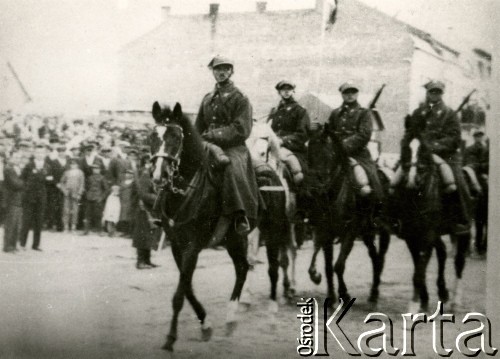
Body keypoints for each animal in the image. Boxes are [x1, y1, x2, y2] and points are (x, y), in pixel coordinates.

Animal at [149, 100, 256, 352]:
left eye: (175, 137)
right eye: (152, 136)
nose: (158, 176)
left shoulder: (192, 247)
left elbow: (179, 295)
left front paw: (170, 338)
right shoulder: (177, 246)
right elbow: (187, 288)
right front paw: (205, 324)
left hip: (240, 237)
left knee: (243, 268)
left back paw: (231, 317)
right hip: (231, 240)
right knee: (243, 268)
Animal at [304, 125, 390, 308]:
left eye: (328, 154)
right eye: (309, 153)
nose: (313, 190)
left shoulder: (349, 233)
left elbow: (338, 265)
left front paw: (344, 293)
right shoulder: (325, 233)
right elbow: (328, 267)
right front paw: (330, 296)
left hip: (382, 231)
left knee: (380, 259)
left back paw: (374, 293)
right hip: (367, 233)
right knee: (374, 257)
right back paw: (372, 294)